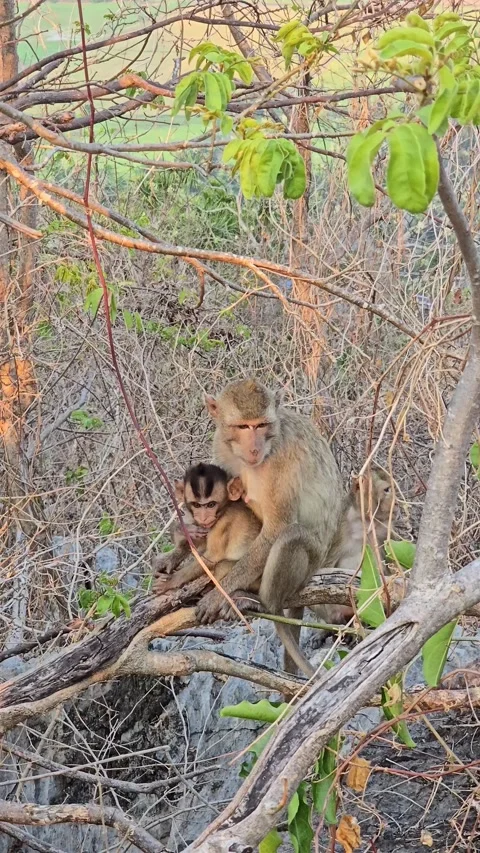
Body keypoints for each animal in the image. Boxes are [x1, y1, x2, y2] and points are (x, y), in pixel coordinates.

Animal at [153, 462, 261, 593]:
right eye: (196, 505)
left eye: (211, 505)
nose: (204, 518)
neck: (225, 509)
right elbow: (198, 541)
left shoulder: (223, 523)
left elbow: (212, 558)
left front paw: (172, 580)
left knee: (221, 565)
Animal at [194, 378, 344, 679]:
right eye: (243, 427)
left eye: (261, 425)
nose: (254, 449)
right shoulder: (221, 447)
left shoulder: (280, 462)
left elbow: (278, 528)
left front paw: (219, 594)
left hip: (310, 565)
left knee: (290, 536)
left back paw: (263, 603)